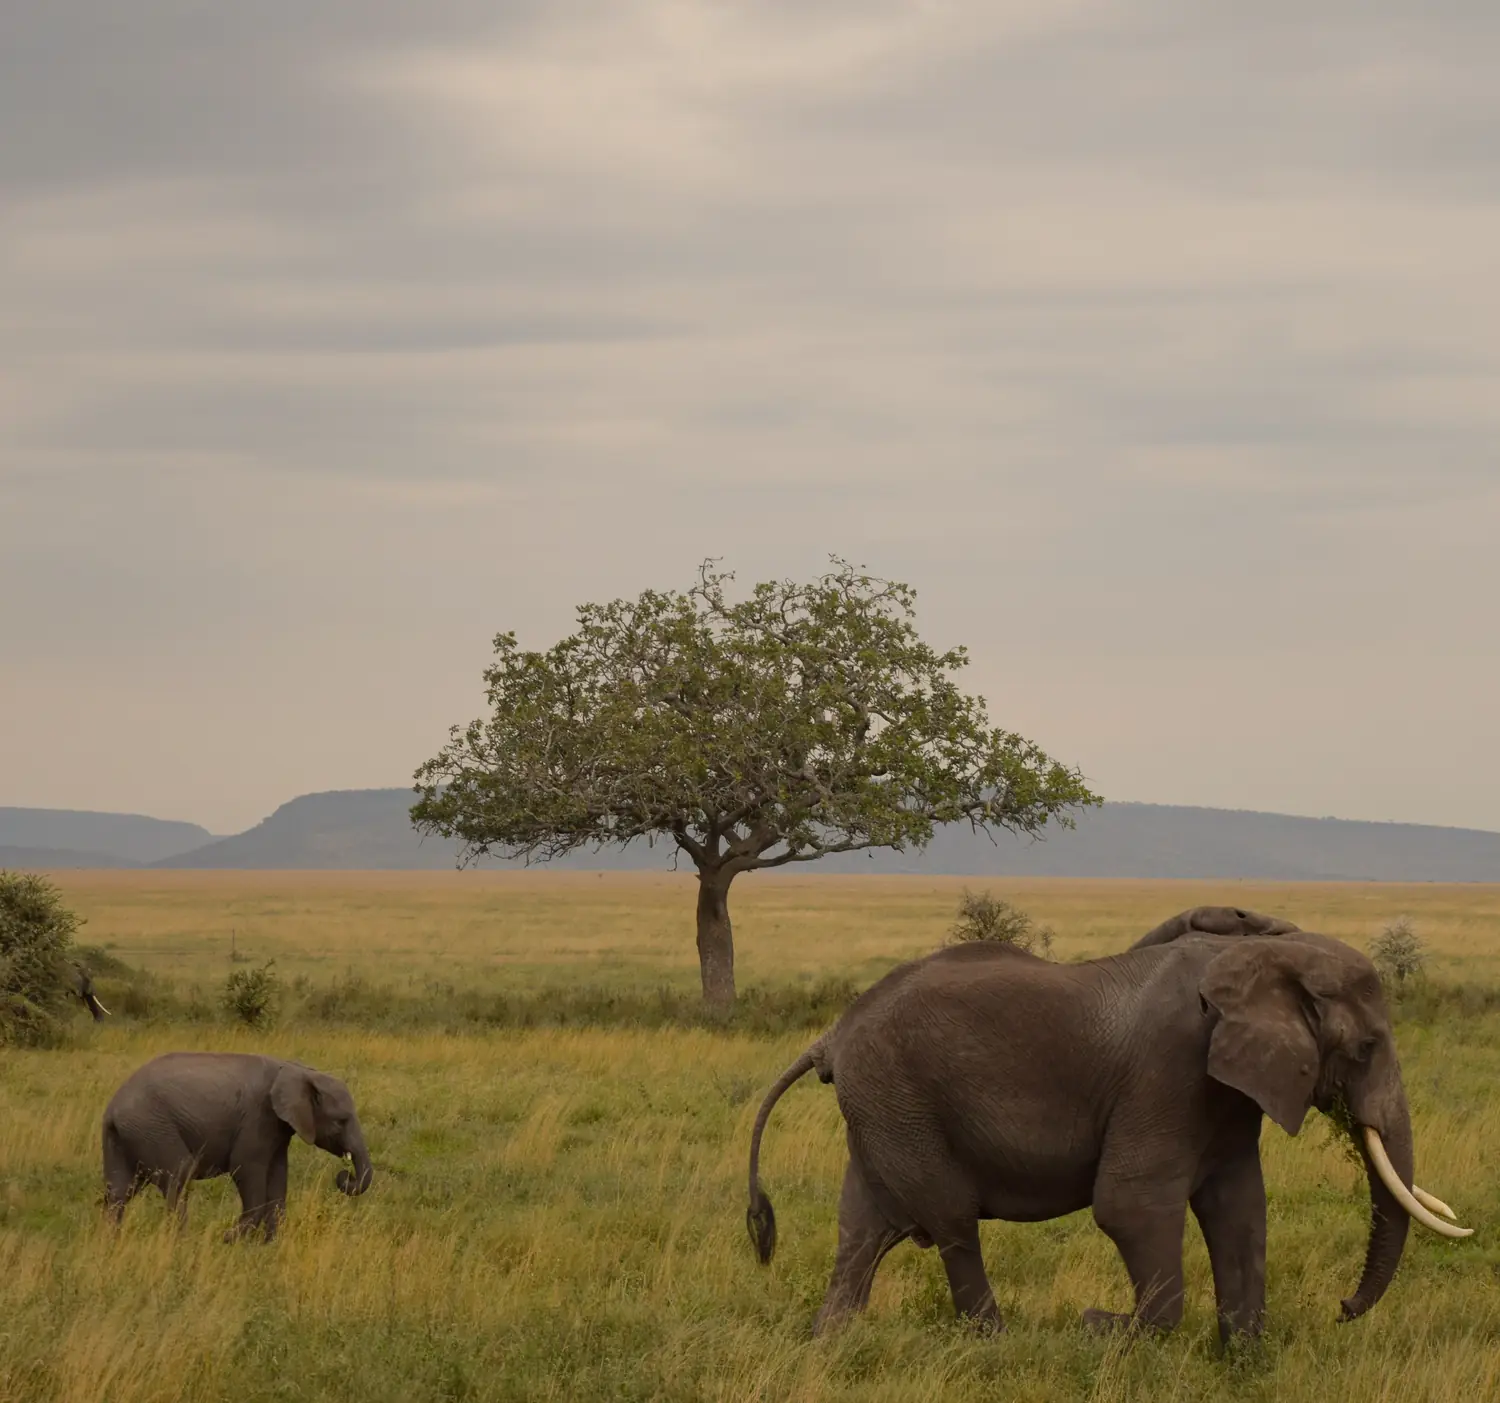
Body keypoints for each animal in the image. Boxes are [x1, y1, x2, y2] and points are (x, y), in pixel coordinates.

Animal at [102, 1052, 373, 1240]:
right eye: (340, 1121)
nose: (344, 1176)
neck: (297, 1070)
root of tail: (112, 1108)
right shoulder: (258, 1117)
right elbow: (246, 1168)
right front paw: (230, 1239)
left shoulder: (277, 1128)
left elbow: (277, 1175)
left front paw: (270, 1246)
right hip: (151, 1127)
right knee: (179, 1174)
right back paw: (182, 1243)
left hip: (127, 1135)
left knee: (120, 1189)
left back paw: (112, 1243)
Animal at [745, 921, 1470, 1342]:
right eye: (1368, 1047)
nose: (1343, 1308)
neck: (1261, 958)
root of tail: (831, 1036)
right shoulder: (1169, 1071)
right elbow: (1131, 1206)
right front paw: (1111, 1330)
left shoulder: (1225, 1095)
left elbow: (1239, 1210)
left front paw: (1241, 1357)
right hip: (900, 1100)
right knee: (950, 1222)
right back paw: (998, 1344)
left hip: (881, 1110)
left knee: (863, 1229)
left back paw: (831, 1342)